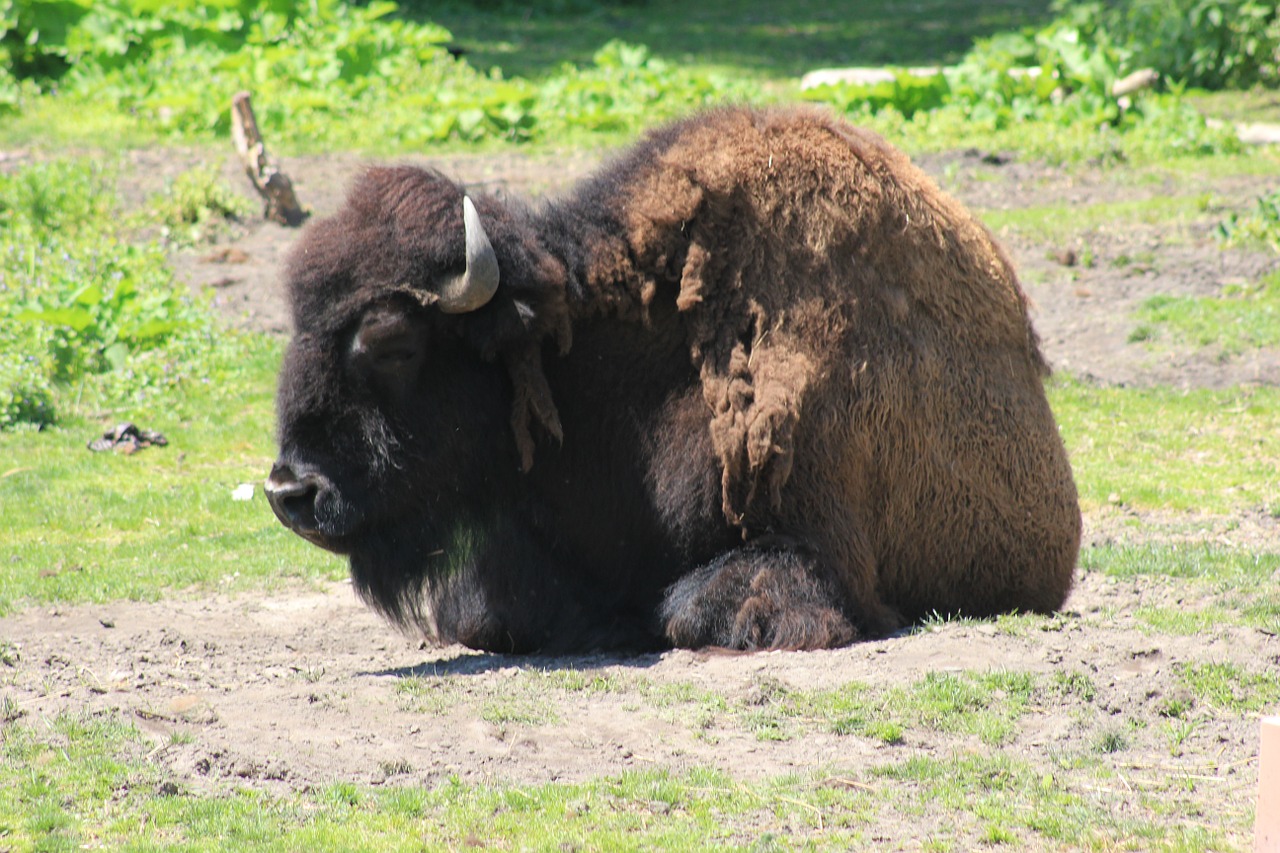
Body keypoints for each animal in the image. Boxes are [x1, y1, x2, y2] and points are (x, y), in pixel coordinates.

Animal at [267, 106, 1080, 650]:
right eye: (297, 326)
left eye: (391, 342)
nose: (289, 491)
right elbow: (482, 614)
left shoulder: (814, 550)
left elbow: (696, 608)